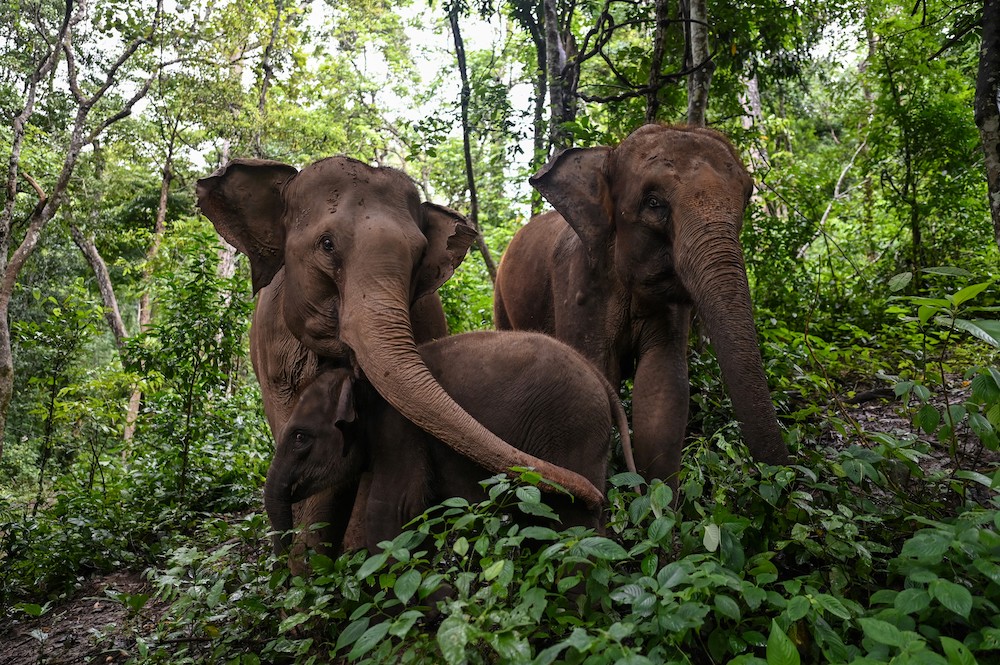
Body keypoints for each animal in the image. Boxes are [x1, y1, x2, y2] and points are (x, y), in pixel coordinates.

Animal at [264, 330, 634, 555]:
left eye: (300, 437)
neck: (361, 381)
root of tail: (600, 378)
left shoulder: (401, 431)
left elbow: (393, 511)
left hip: (573, 430)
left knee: (573, 525)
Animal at [493, 124, 789, 488]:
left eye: (746, 197)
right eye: (653, 202)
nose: (786, 476)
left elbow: (663, 386)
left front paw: (657, 500)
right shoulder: (578, 285)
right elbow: (595, 373)